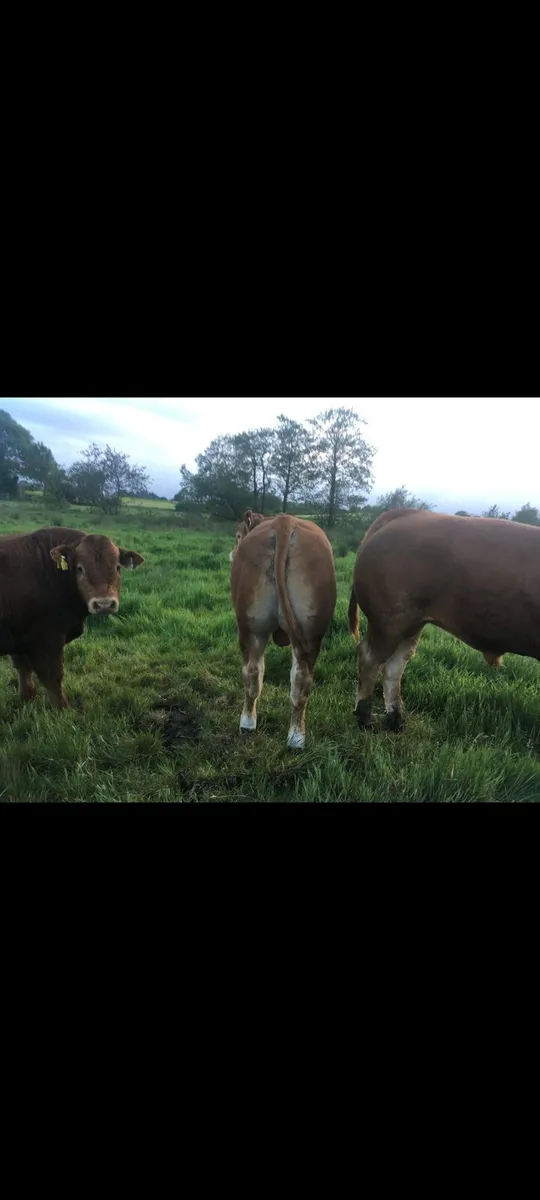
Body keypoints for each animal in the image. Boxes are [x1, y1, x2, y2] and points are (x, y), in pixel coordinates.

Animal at [0, 527, 144, 709]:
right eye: (80, 568)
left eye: (118, 567)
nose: (104, 603)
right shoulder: (48, 638)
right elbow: (53, 676)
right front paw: (62, 709)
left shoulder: (18, 639)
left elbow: (23, 669)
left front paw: (26, 699)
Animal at [230, 513, 336, 748]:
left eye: (238, 535)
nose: (232, 554)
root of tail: (284, 520)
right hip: (308, 631)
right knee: (300, 680)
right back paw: (296, 737)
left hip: (251, 630)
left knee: (251, 673)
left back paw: (247, 722)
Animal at [348, 508, 540, 731]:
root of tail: (406, 514)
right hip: (389, 621)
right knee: (370, 658)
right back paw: (364, 717)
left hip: (411, 623)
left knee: (395, 665)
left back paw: (395, 718)